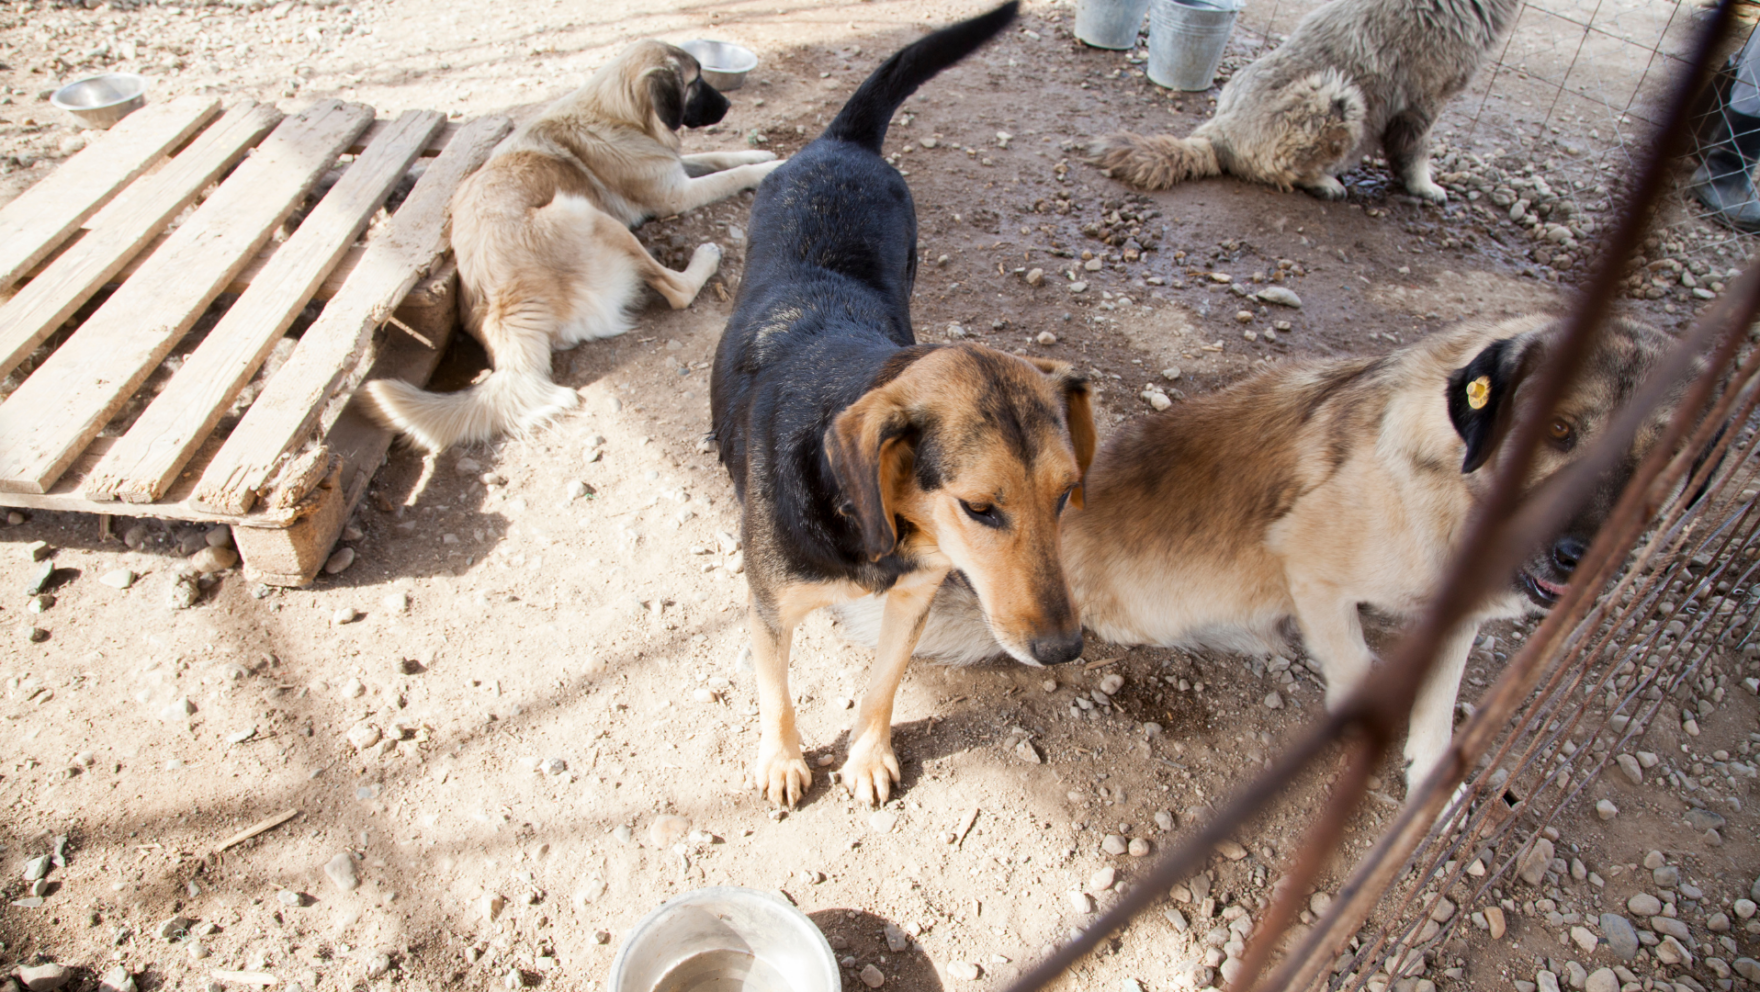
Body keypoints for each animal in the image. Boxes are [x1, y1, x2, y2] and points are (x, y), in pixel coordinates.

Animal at [707, 1, 1091, 805]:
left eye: (1066, 495)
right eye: (979, 508)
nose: (1066, 649)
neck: (871, 519)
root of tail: (841, 141)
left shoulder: (915, 594)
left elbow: (884, 680)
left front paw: (868, 753)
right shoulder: (769, 607)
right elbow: (775, 691)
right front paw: (783, 759)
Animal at [999, 3, 1752, 984]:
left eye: (1665, 455)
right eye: (1558, 432)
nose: (1579, 556)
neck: (1453, 502)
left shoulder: (1458, 620)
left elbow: (1437, 713)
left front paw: (1432, 780)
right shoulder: (1312, 565)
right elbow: (1357, 667)